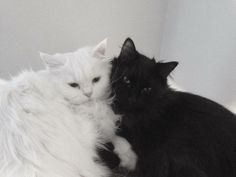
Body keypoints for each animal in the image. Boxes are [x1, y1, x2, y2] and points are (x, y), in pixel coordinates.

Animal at [0, 39, 136, 177]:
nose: (88, 93)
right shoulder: (92, 132)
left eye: (96, 80)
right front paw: (129, 157)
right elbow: (116, 139)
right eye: (73, 85)